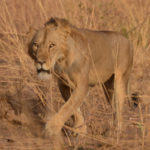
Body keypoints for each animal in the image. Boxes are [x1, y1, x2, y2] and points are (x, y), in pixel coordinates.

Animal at [27, 17, 133, 149]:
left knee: (119, 108)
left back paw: (116, 131)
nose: (40, 62)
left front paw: (51, 129)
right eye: (36, 45)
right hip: (109, 88)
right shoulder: (63, 85)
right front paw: (80, 130)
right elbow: (73, 108)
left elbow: (67, 107)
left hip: (120, 79)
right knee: (113, 106)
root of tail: (128, 40)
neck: (62, 61)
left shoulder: (82, 86)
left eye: (51, 45)